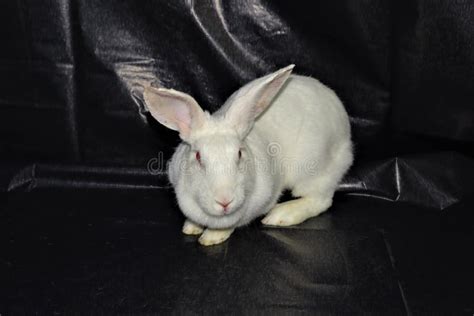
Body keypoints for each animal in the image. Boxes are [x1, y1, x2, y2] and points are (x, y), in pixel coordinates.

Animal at [143, 65, 352, 247]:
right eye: (198, 157)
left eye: (239, 153)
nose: (225, 201)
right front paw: (191, 227)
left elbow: (229, 226)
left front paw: (211, 237)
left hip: (314, 170)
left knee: (321, 199)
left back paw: (280, 215)